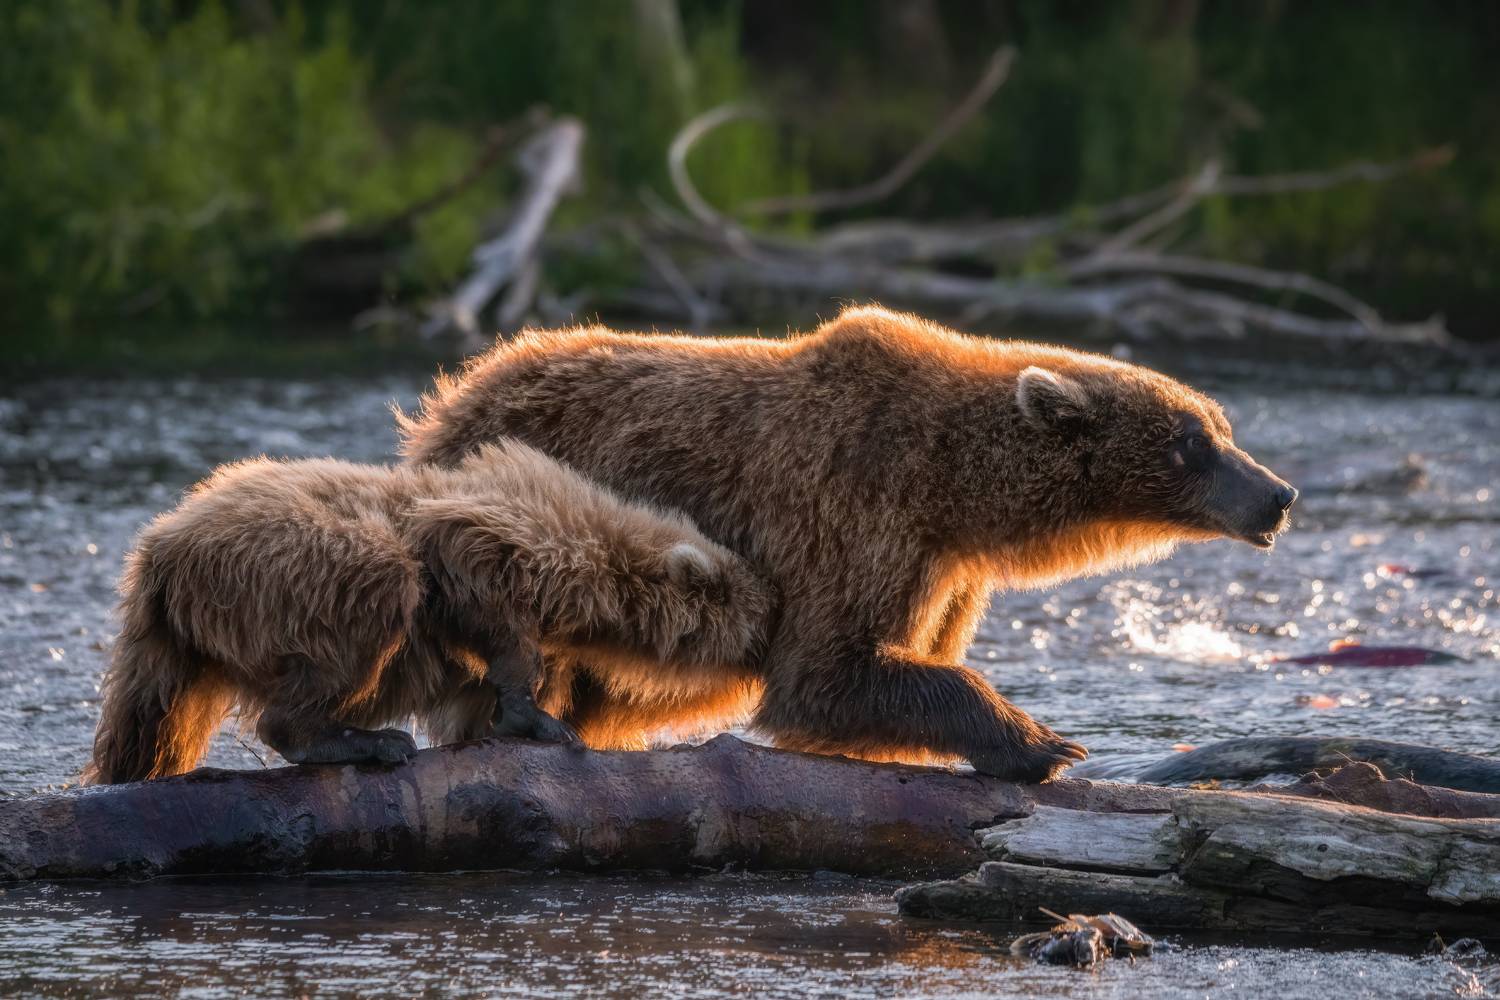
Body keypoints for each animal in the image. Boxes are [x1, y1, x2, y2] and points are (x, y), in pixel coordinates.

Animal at [85, 439, 774, 784]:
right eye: (764, 614)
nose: (772, 642)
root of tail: (162, 544)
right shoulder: (497, 537)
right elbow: (475, 590)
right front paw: (537, 718)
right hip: (287, 567)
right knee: (373, 594)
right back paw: (367, 741)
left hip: (180, 636)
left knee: (149, 717)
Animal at [397, 305, 1297, 782]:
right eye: (1191, 442)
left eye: (1219, 425)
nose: (1278, 496)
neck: (956, 491)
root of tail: (452, 400)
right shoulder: (854, 509)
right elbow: (825, 675)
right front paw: (1041, 742)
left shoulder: (948, 573)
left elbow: (900, 659)